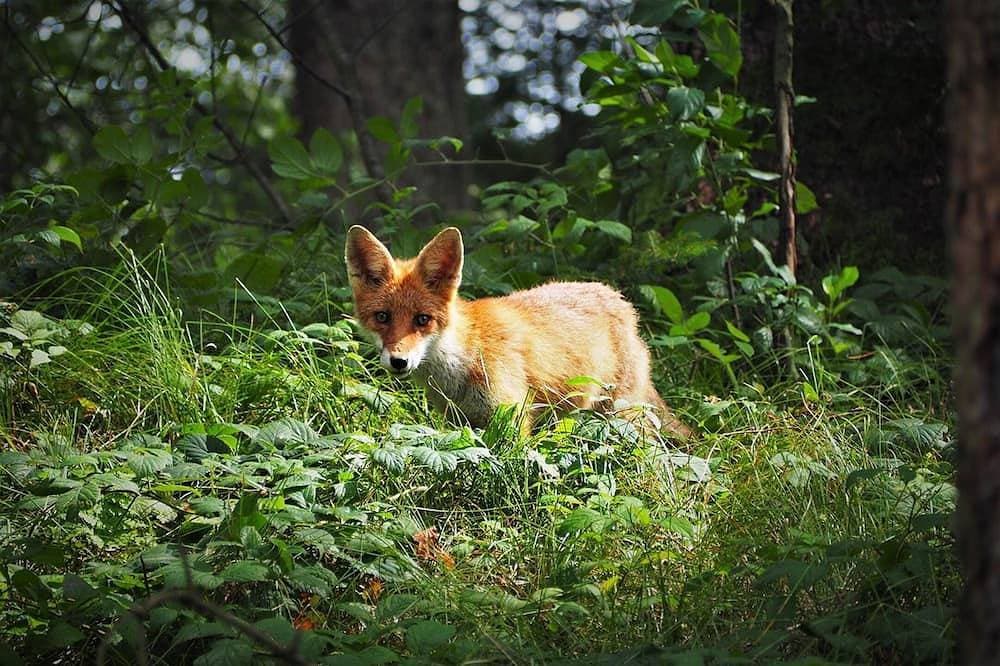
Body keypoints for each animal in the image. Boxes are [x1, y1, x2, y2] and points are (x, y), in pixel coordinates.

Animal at [345, 225, 692, 439]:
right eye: (383, 317)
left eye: (422, 320)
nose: (398, 361)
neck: (465, 356)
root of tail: (622, 302)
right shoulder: (462, 422)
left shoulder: (512, 416)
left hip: (624, 416)